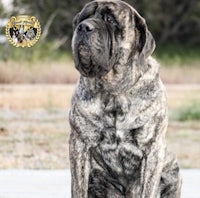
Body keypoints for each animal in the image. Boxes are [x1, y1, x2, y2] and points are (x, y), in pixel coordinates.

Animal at [69, 0, 181, 197]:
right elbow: (78, 187)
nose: (83, 27)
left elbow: (148, 189)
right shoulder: (79, 144)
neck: (114, 91)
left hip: (173, 173)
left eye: (109, 19)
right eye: (81, 19)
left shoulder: (152, 150)